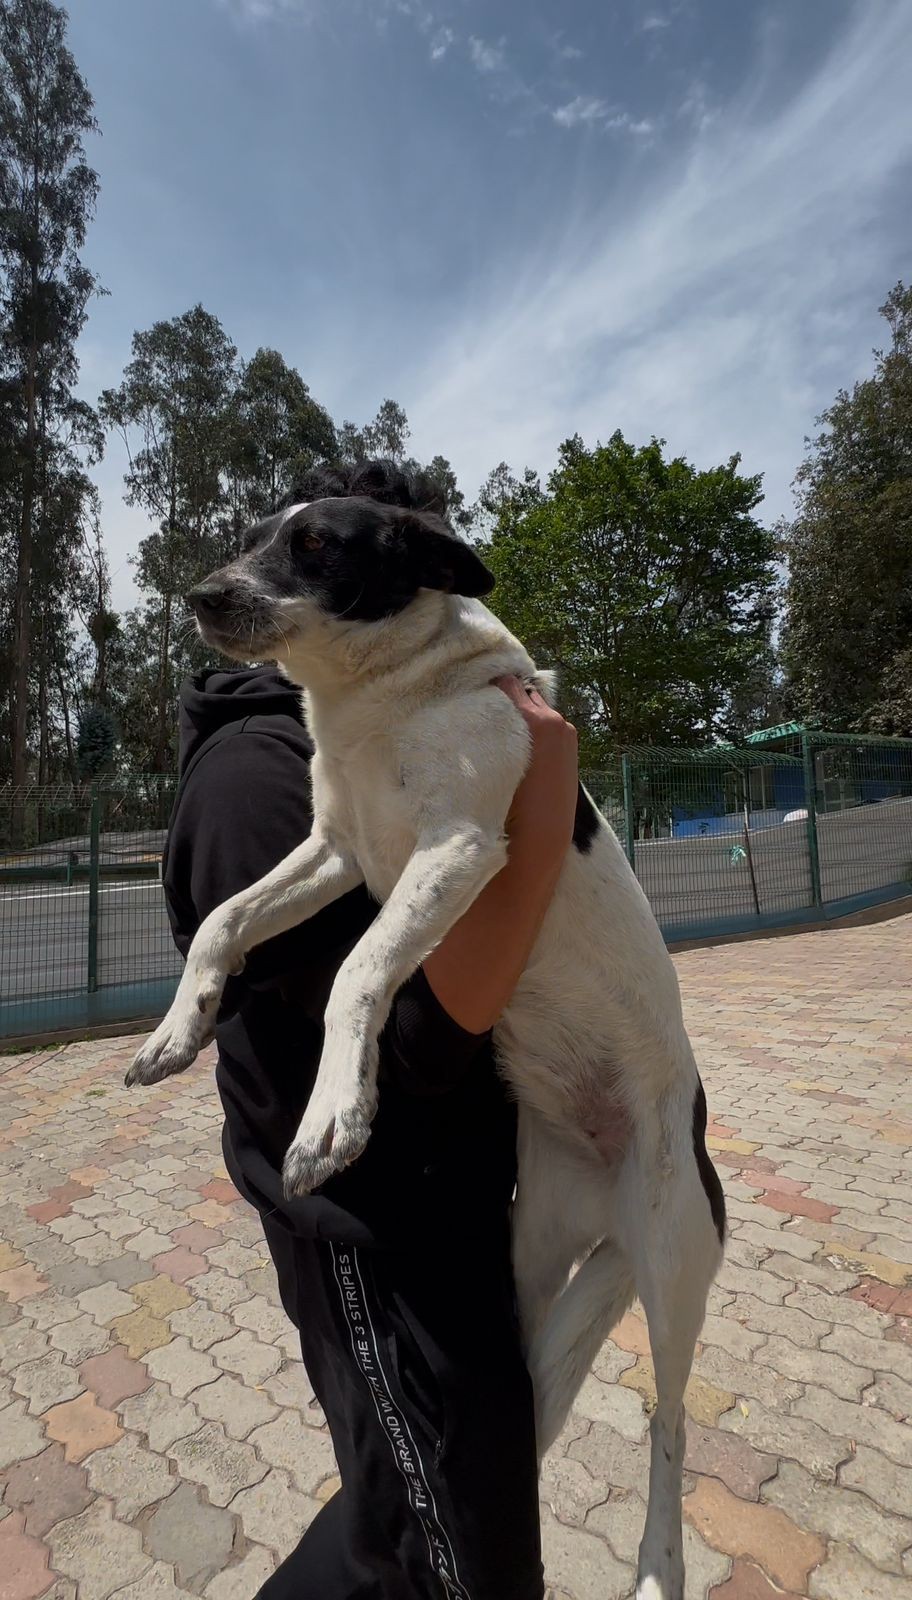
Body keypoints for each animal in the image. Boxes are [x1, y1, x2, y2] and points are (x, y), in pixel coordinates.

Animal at [128, 467, 723, 1593]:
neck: (368, 705)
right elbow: (224, 917)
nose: (200, 594)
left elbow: (355, 973)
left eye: (317, 544)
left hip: (673, 1262)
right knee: (529, 1388)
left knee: (670, 1424)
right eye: (250, 536)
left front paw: (334, 1117)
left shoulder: (460, 848)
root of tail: (621, 1194)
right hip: (532, 1255)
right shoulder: (334, 850)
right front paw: (178, 1027)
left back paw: (658, 1563)